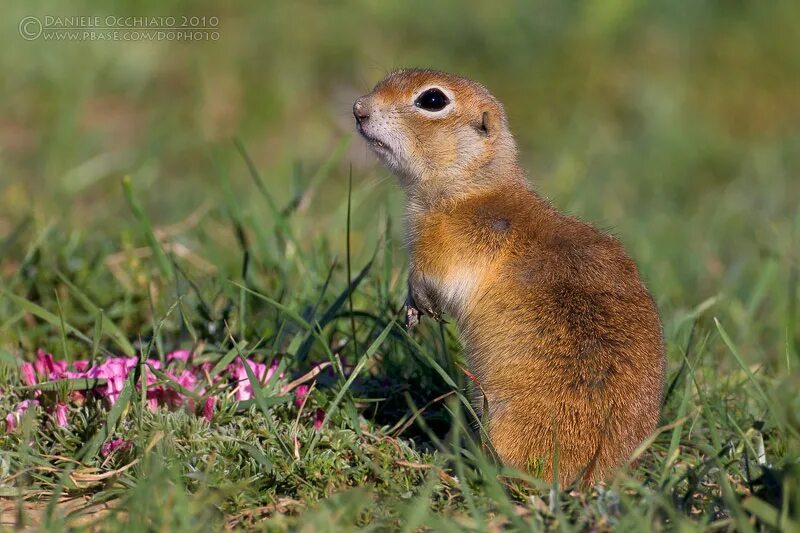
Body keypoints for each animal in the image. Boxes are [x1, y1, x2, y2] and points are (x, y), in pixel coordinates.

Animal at [354, 68, 664, 484]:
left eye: (432, 100)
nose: (358, 109)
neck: (471, 187)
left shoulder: (452, 244)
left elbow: (434, 277)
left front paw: (417, 301)